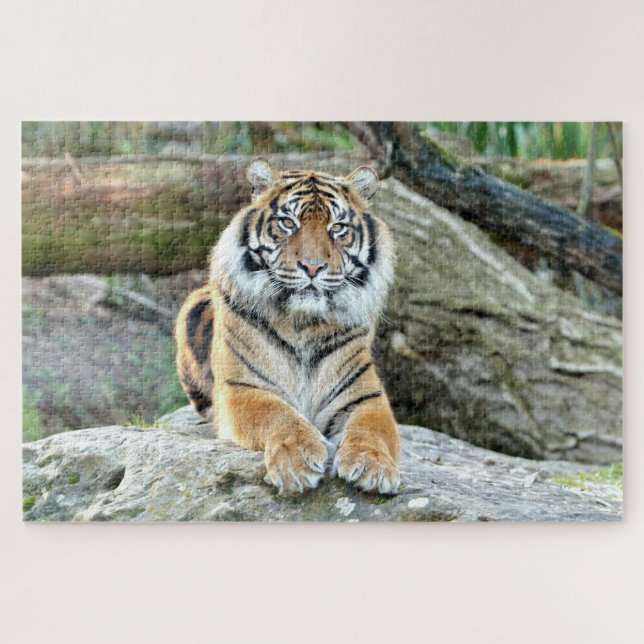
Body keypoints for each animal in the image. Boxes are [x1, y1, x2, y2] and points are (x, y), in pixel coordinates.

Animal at [174, 158, 400, 495]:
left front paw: (373, 465)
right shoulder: (243, 388)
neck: (303, 322)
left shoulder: (365, 395)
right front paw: (298, 460)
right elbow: (278, 415)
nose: (312, 266)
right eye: (288, 223)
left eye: (337, 228)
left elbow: (372, 429)